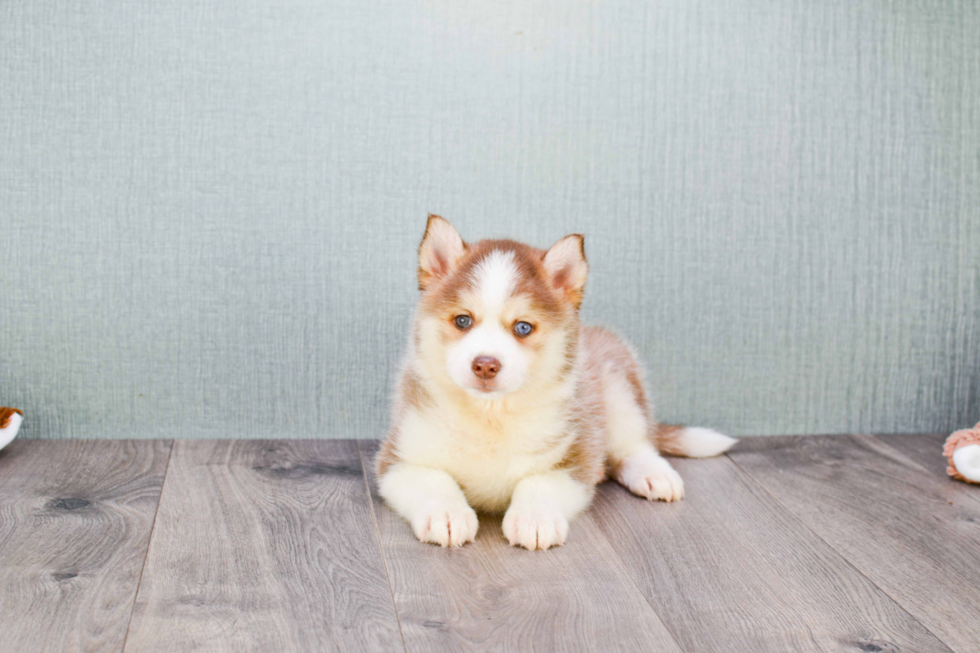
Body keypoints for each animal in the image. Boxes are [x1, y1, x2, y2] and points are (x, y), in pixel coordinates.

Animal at [376, 216, 736, 548]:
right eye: (462, 320)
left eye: (523, 327)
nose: (485, 365)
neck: (491, 416)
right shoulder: (398, 458)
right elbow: (433, 480)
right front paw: (446, 514)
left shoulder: (576, 458)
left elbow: (539, 482)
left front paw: (535, 518)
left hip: (618, 383)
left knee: (635, 445)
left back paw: (654, 474)